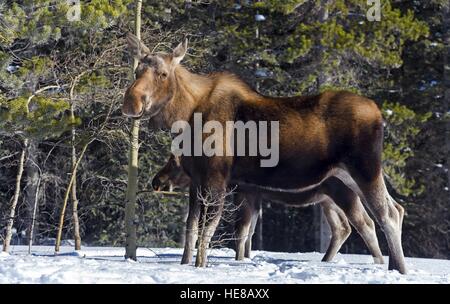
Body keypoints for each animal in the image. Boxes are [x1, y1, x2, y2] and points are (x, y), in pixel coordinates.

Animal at [152, 154, 386, 264]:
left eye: (173, 163)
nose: (156, 181)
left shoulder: (246, 193)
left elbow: (241, 231)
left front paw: (239, 259)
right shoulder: (255, 198)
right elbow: (250, 232)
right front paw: (245, 258)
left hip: (343, 194)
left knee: (365, 223)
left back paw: (380, 261)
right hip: (326, 200)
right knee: (343, 228)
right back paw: (326, 260)